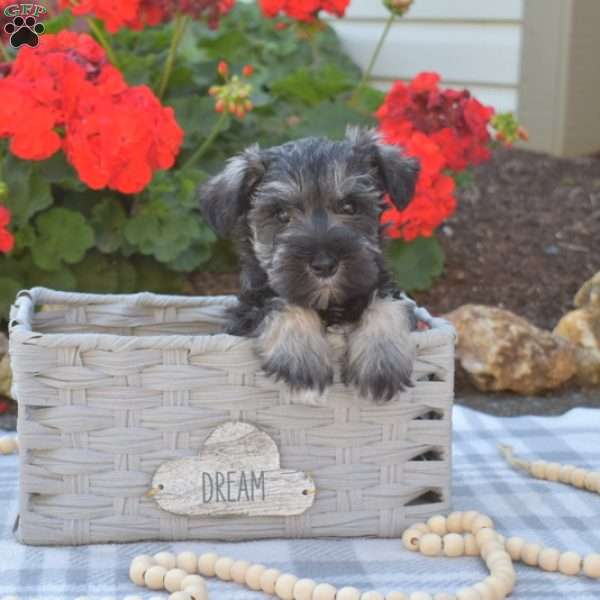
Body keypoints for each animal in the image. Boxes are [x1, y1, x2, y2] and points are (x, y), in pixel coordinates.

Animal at [199, 127, 420, 404]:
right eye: (281, 214)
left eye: (350, 206)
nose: (324, 265)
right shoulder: (248, 311)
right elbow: (283, 303)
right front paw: (301, 360)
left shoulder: (381, 285)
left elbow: (387, 304)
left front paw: (382, 360)